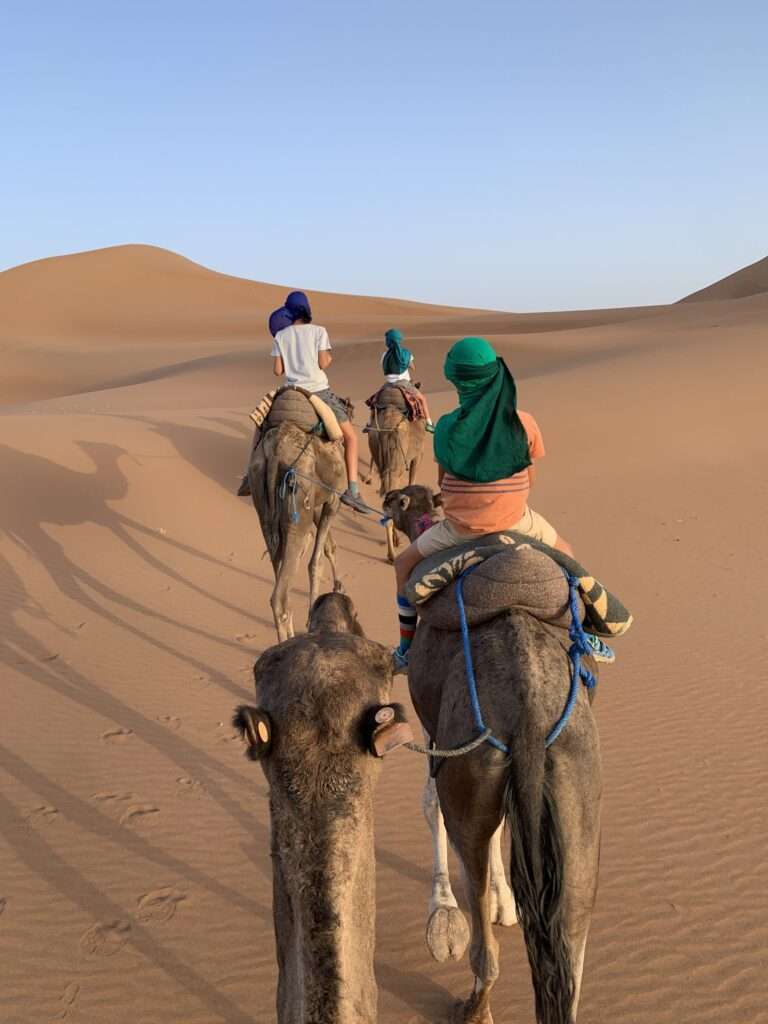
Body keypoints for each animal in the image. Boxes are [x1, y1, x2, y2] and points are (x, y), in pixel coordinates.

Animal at [249, 413, 346, 638]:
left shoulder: (318, 503)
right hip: (298, 501)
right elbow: (316, 561)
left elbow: (326, 547)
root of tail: (275, 454)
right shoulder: (333, 499)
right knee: (279, 597)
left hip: (263, 504)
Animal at [382, 485, 602, 1024]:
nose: (385, 504)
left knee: (486, 943)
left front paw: (442, 911)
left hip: (473, 780)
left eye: (399, 502)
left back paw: (473, 1006)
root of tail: (530, 711)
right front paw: (507, 902)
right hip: (577, 797)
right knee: (570, 954)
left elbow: (430, 803)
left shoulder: (438, 736)